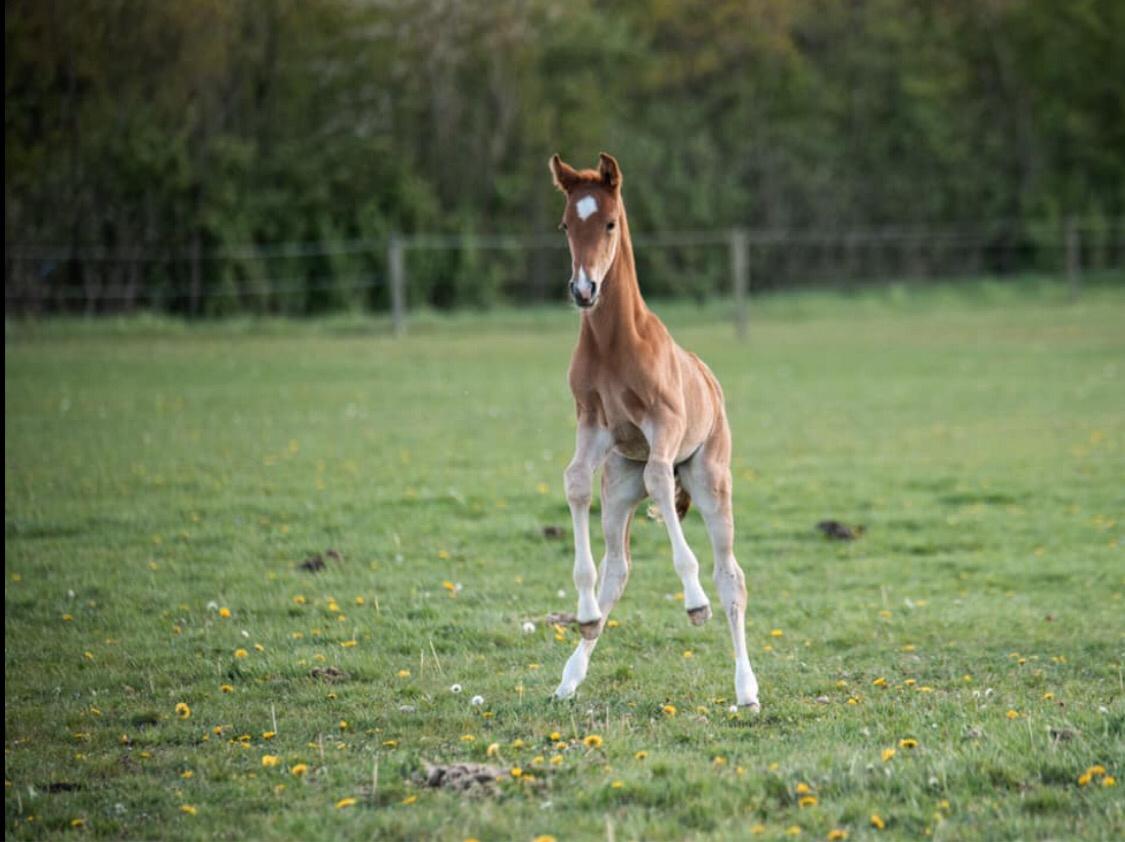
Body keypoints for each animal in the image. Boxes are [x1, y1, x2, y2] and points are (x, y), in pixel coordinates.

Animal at [549, 153, 760, 711]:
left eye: (609, 222)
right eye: (565, 225)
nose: (584, 290)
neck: (615, 343)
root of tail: (709, 378)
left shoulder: (663, 422)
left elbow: (662, 480)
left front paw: (694, 601)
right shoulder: (593, 422)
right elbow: (574, 481)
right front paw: (582, 610)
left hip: (710, 477)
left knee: (731, 576)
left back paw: (747, 689)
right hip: (619, 487)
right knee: (618, 569)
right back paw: (571, 670)